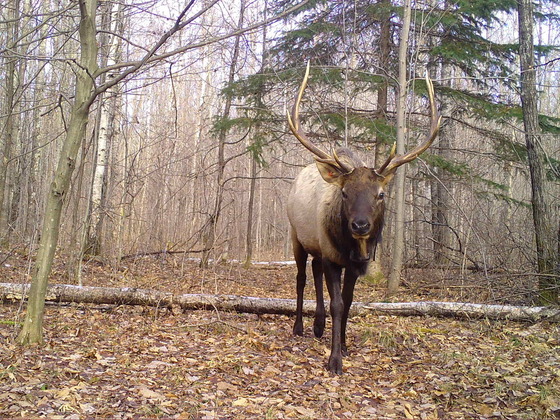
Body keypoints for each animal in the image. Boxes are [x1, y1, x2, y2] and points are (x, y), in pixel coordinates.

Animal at [288, 63, 442, 374]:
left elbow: (347, 303)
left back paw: (318, 326)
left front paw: (345, 346)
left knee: (314, 271)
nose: (360, 225)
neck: (352, 248)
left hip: (316, 246)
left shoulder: (355, 263)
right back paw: (300, 327)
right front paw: (334, 360)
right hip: (295, 235)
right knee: (301, 277)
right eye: (345, 193)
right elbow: (336, 303)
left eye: (381, 194)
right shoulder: (333, 256)